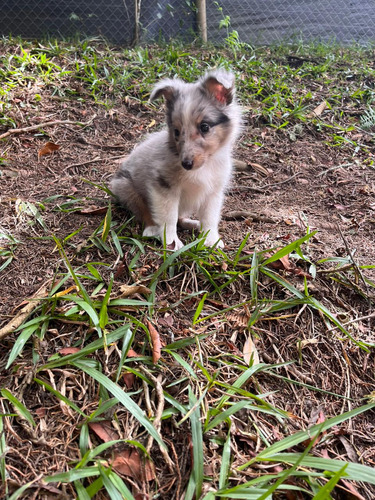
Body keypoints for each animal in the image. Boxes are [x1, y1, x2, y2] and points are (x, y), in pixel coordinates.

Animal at [110, 69, 242, 249]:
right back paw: (152, 228)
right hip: (126, 188)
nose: (186, 164)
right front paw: (171, 241)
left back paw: (193, 224)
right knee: (144, 211)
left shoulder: (213, 191)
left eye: (204, 127)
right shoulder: (164, 186)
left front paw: (210, 239)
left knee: (181, 217)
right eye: (177, 132)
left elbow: (209, 217)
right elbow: (169, 217)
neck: (204, 166)